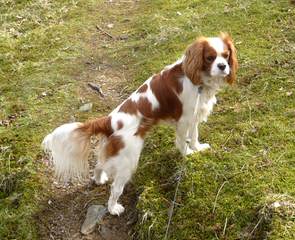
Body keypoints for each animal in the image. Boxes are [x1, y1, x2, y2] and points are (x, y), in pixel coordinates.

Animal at [42, 32, 238, 216]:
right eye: (210, 57)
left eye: (226, 55)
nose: (223, 66)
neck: (197, 78)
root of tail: (109, 121)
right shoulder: (184, 119)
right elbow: (182, 142)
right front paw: (187, 154)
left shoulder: (195, 114)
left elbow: (195, 135)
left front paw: (198, 148)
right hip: (128, 159)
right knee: (115, 188)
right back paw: (113, 208)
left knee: (99, 165)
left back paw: (99, 179)